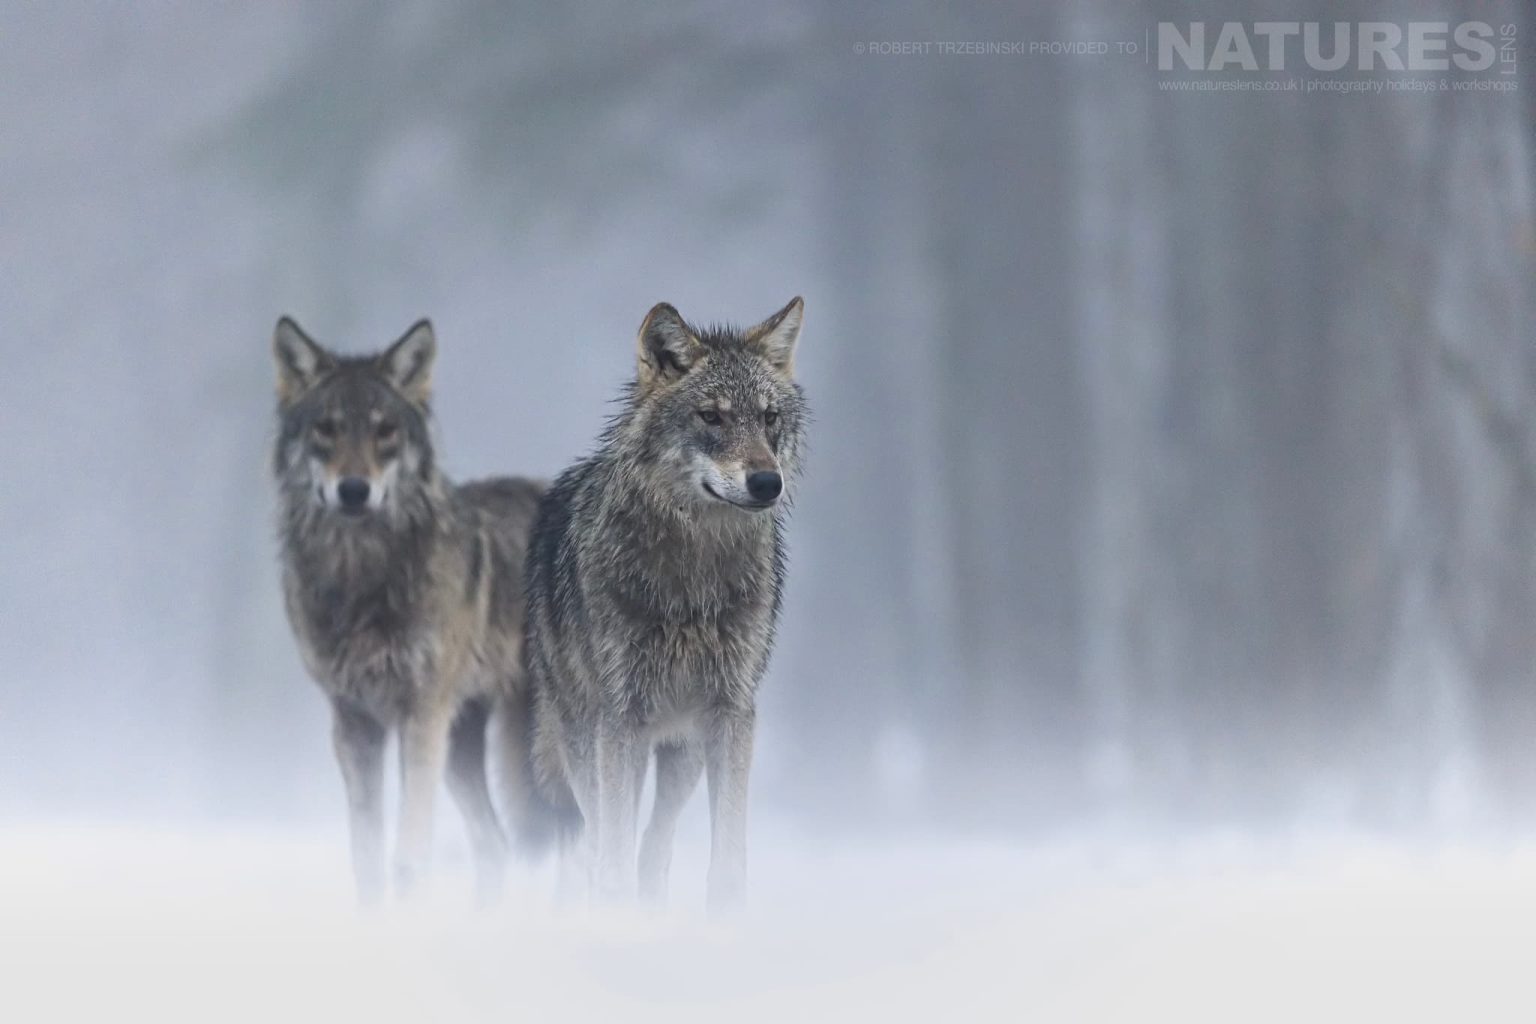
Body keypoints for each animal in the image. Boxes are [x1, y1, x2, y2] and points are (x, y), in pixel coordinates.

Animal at [271, 317, 545, 904]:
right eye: (326, 429)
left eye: (385, 431)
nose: (354, 490)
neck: (363, 577)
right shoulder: (354, 722)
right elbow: (368, 856)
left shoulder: (422, 714)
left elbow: (408, 858)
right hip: (461, 750)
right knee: (498, 846)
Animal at [510, 296, 807, 910]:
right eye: (712, 417)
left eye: (769, 418)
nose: (767, 482)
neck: (693, 579)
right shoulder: (619, 716)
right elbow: (610, 844)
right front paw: (614, 913)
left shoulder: (731, 711)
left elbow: (727, 852)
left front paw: (725, 919)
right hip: (582, 735)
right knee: (592, 833)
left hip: (681, 748)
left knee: (655, 839)